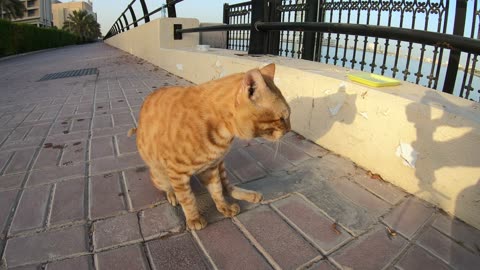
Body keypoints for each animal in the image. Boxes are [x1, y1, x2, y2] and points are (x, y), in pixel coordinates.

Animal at [127, 63, 290, 230]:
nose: (289, 130)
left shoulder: (210, 168)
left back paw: (250, 195)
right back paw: (172, 195)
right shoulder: (177, 172)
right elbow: (187, 198)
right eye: (282, 118)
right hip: (160, 175)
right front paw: (193, 218)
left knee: (227, 187)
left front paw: (224, 207)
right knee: (169, 187)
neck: (223, 133)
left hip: (219, 165)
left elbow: (217, 190)